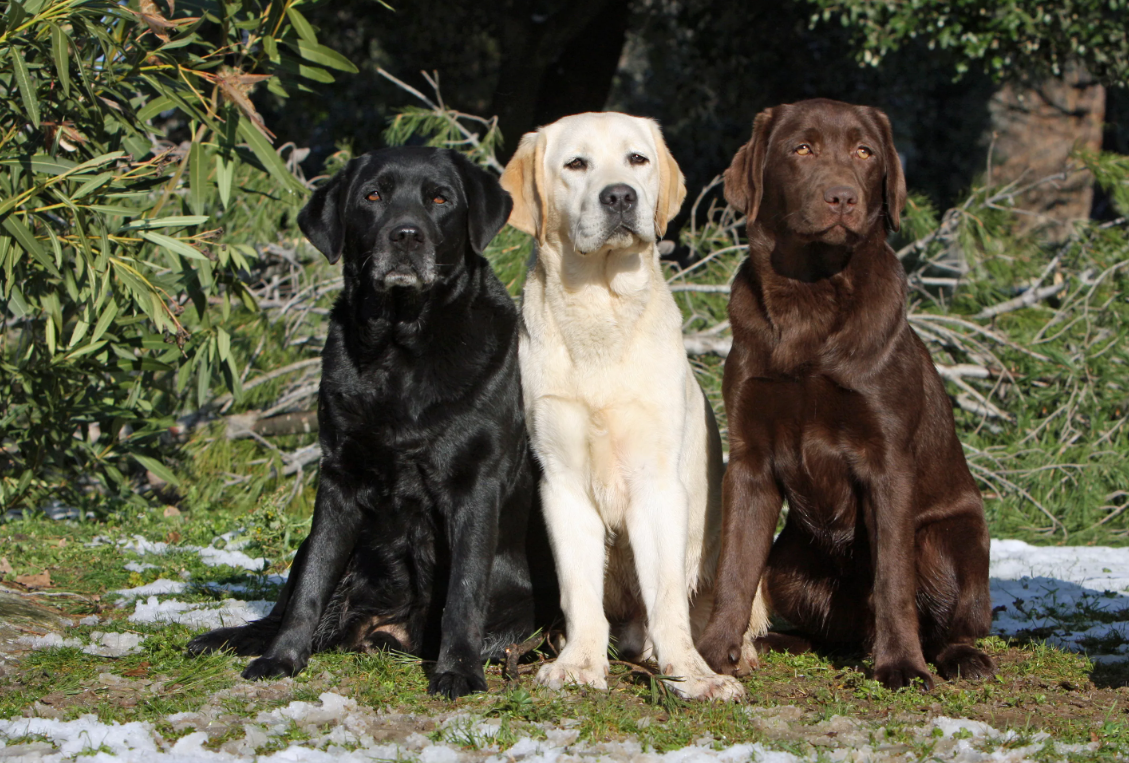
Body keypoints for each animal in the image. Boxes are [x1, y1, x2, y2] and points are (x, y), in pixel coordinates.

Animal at [187, 147, 553, 695]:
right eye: (373, 196)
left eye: (440, 198)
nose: (406, 235)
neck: (400, 350)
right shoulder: (337, 477)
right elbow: (311, 585)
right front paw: (282, 658)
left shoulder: (475, 482)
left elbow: (465, 589)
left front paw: (458, 670)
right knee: (289, 596)